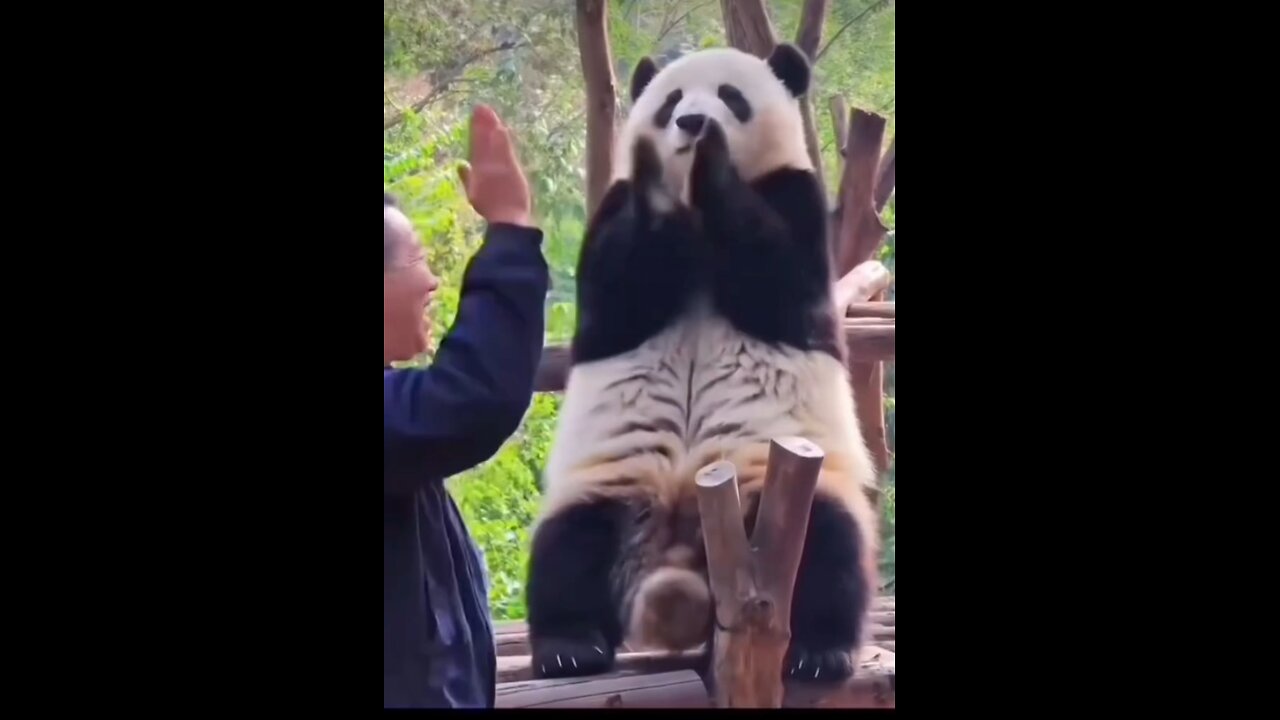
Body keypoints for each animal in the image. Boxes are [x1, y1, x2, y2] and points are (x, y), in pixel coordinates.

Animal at [524, 43, 879, 685]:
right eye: (670, 102)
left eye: (730, 97)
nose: (693, 123)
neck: (692, 210)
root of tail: (684, 562)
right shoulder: (611, 210)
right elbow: (618, 294)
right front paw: (655, 178)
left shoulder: (796, 199)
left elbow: (779, 282)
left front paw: (714, 163)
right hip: (609, 485)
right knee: (567, 550)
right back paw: (569, 646)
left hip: (787, 490)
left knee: (831, 547)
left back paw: (820, 653)